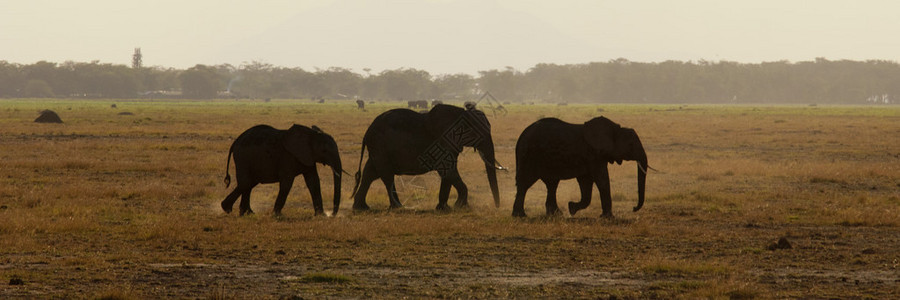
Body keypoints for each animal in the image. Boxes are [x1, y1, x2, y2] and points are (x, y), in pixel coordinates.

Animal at [352, 104, 502, 212]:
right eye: (480, 132)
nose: (497, 207)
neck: (462, 114)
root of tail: (367, 133)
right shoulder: (442, 141)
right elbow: (447, 170)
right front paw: (459, 206)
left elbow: (447, 173)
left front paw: (444, 208)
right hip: (380, 147)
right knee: (386, 176)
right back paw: (398, 207)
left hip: (378, 149)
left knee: (370, 173)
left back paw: (361, 208)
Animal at [510, 116, 652, 218]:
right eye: (631, 145)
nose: (633, 208)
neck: (616, 128)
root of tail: (521, 136)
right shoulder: (594, 155)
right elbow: (602, 180)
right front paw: (608, 217)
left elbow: (586, 182)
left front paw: (572, 208)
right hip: (530, 156)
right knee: (525, 183)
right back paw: (520, 216)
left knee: (551, 184)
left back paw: (556, 214)